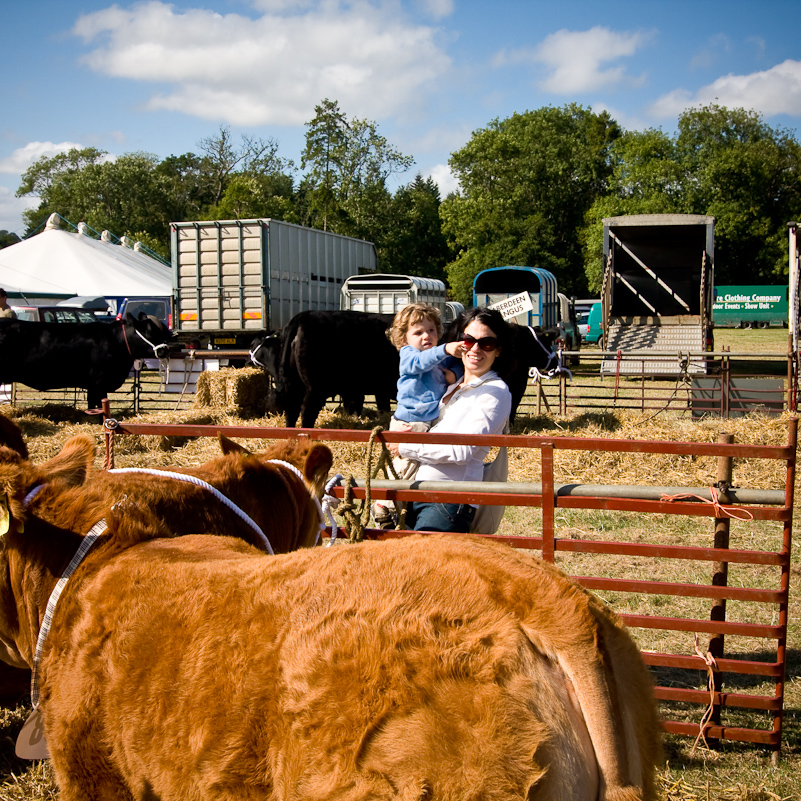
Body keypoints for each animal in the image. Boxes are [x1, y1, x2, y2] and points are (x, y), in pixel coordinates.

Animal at [0, 314, 170, 412]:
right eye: (150, 332)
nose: (165, 350)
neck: (114, 340)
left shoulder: (93, 385)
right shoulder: (99, 383)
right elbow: (98, 406)